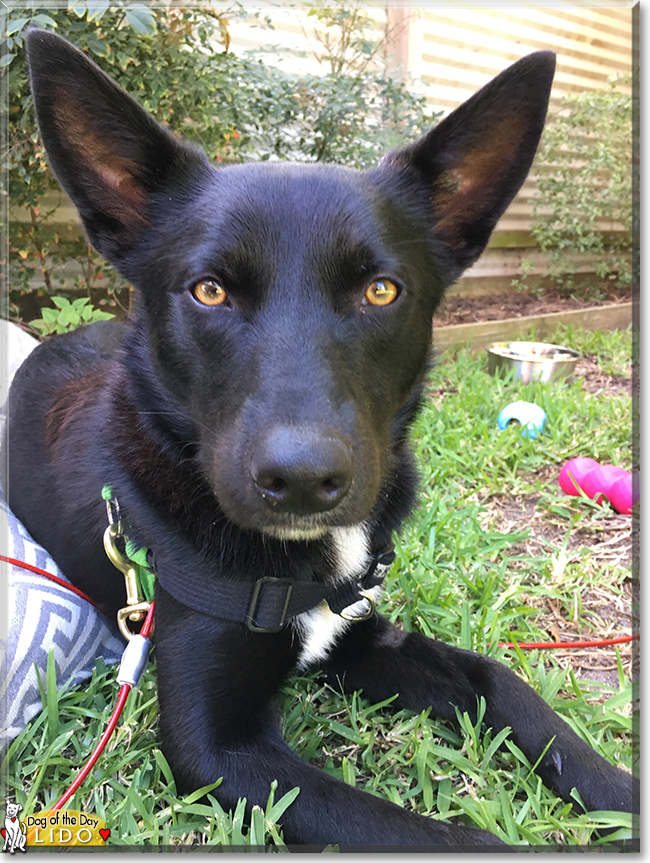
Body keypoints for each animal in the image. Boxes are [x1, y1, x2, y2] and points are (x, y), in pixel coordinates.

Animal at [3, 30, 632, 848]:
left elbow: (504, 680)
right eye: (209, 290)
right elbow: (438, 838)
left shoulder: (359, 632)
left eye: (381, 290)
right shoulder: (217, 750)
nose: (301, 480)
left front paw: (617, 788)